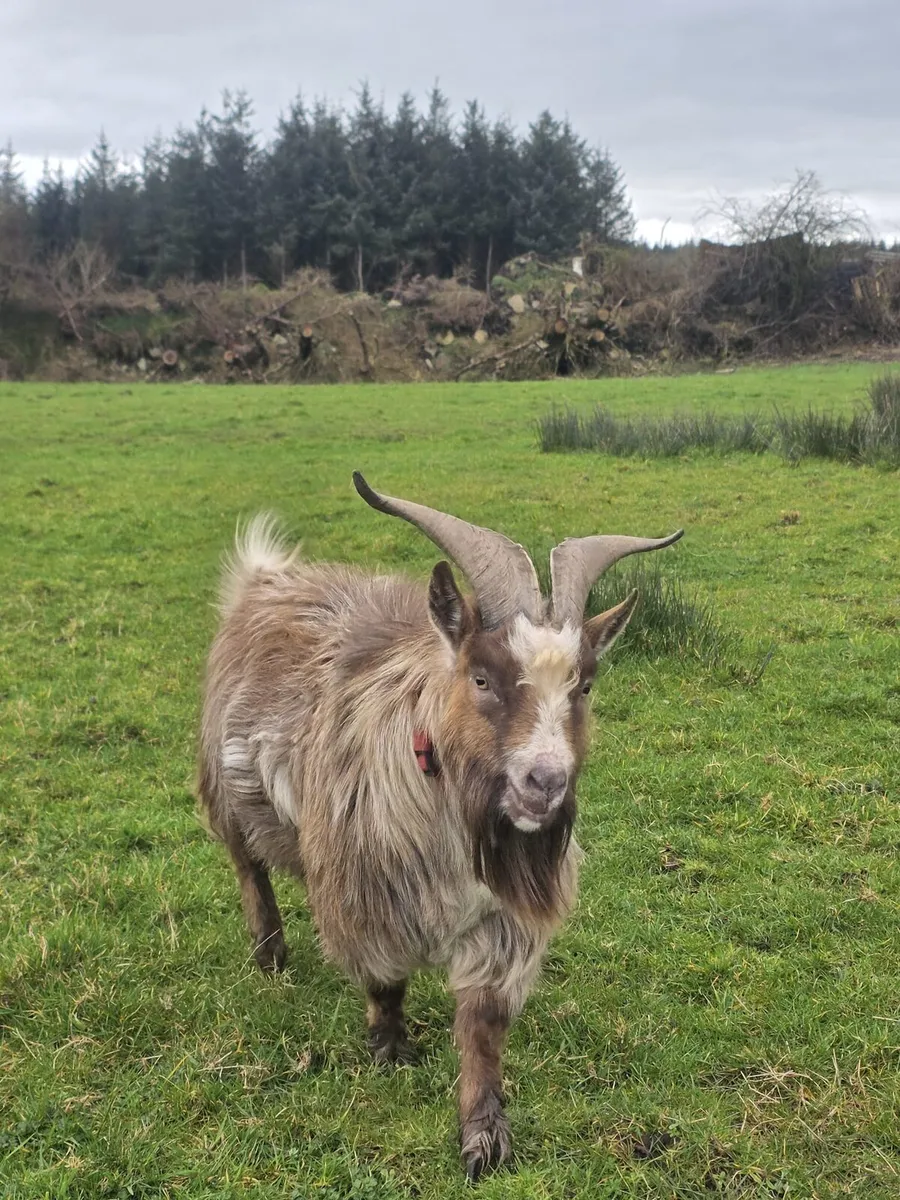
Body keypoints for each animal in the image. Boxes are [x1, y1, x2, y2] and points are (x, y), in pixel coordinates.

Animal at [197, 473, 682, 1179]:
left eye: (585, 686)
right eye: (481, 678)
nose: (544, 783)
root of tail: (267, 578)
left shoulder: (502, 921)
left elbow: (483, 1023)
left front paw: (483, 1134)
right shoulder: (364, 888)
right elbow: (384, 977)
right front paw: (389, 1045)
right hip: (225, 784)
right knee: (248, 864)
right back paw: (270, 953)